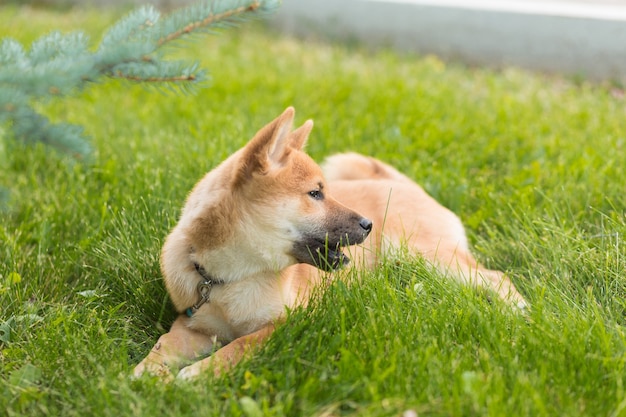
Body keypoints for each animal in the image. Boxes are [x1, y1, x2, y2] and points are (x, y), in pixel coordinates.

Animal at [133, 107, 528, 380]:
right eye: (315, 194)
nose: (368, 224)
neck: (232, 279)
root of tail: (404, 184)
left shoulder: (289, 323)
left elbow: (240, 346)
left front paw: (198, 374)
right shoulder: (193, 326)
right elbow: (162, 346)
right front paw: (145, 375)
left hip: (428, 256)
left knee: (496, 278)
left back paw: (520, 310)